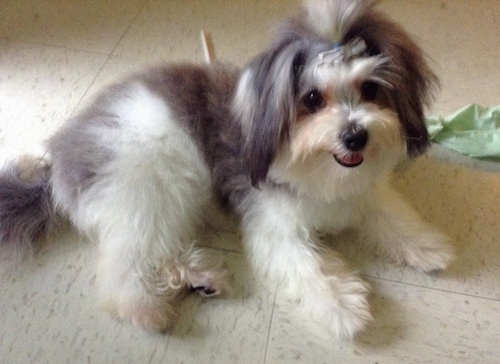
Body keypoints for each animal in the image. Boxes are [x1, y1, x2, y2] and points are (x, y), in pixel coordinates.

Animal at [0, 0, 454, 338]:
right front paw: (343, 306)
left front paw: (426, 246)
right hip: (150, 185)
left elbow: (390, 212)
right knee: (126, 264)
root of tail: (59, 159)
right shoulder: (275, 226)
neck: (322, 170)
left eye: (370, 89)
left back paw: (199, 279)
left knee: (156, 247)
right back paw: (147, 307)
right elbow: (309, 266)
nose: (355, 136)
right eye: (312, 98)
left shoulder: (362, 189)